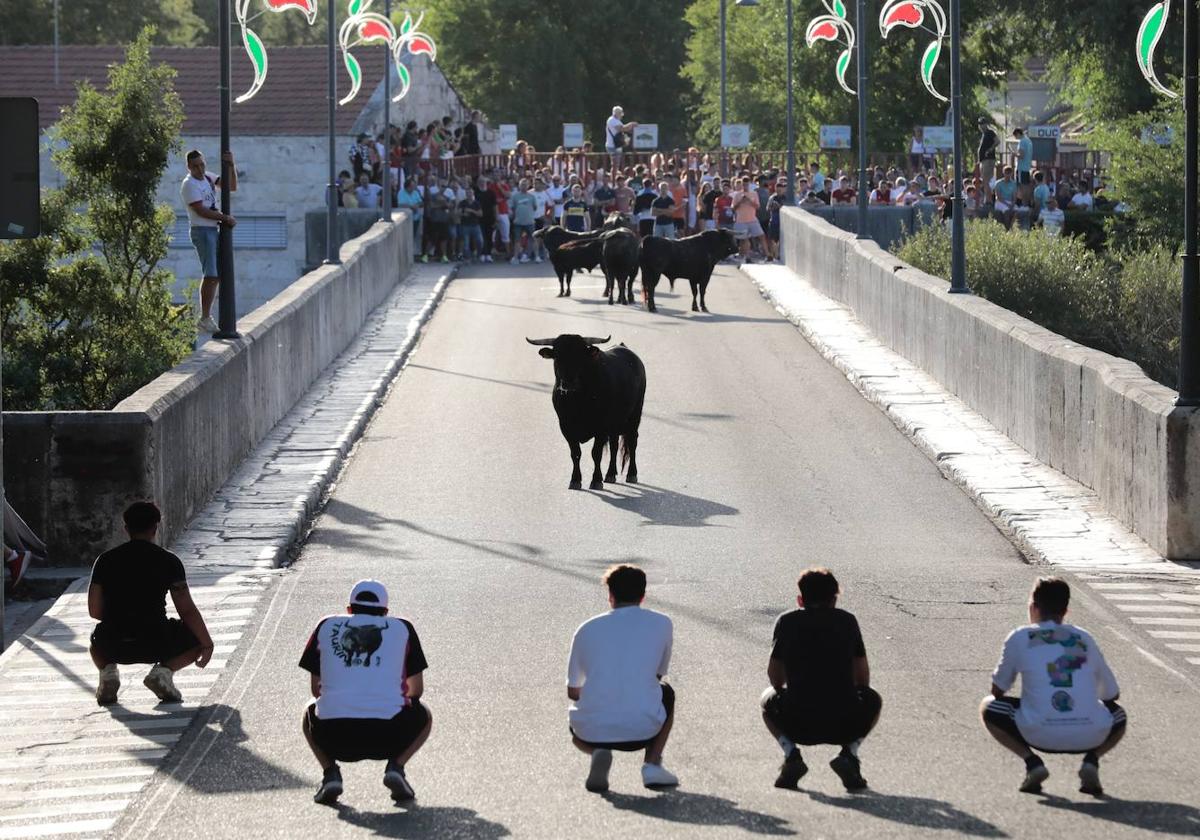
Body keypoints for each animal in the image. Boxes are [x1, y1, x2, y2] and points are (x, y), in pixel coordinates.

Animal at [525, 336, 648, 492]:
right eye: (557, 357)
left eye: (580, 357)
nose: (568, 382)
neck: (577, 401)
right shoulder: (566, 428)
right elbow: (575, 454)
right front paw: (575, 480)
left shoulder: (601, 428)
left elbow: (596, 453)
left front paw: (596, 480)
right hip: (615, 425)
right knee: (614, 446)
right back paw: (610, 474)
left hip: (635, 416)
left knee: (632, 442)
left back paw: (631, 474)